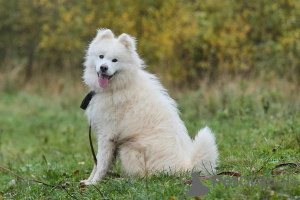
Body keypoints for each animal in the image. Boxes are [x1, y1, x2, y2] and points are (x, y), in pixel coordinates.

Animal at [81, 28, 218, 184]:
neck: (118, 87)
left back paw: (121, 180)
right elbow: (97, 163)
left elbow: (101, 163)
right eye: (101, 56)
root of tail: (185, 169)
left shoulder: (107, 135)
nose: (103, 67)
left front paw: (94, 183)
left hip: (128, 148)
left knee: (142, 177)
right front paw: (88, 181)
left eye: (114, 60)